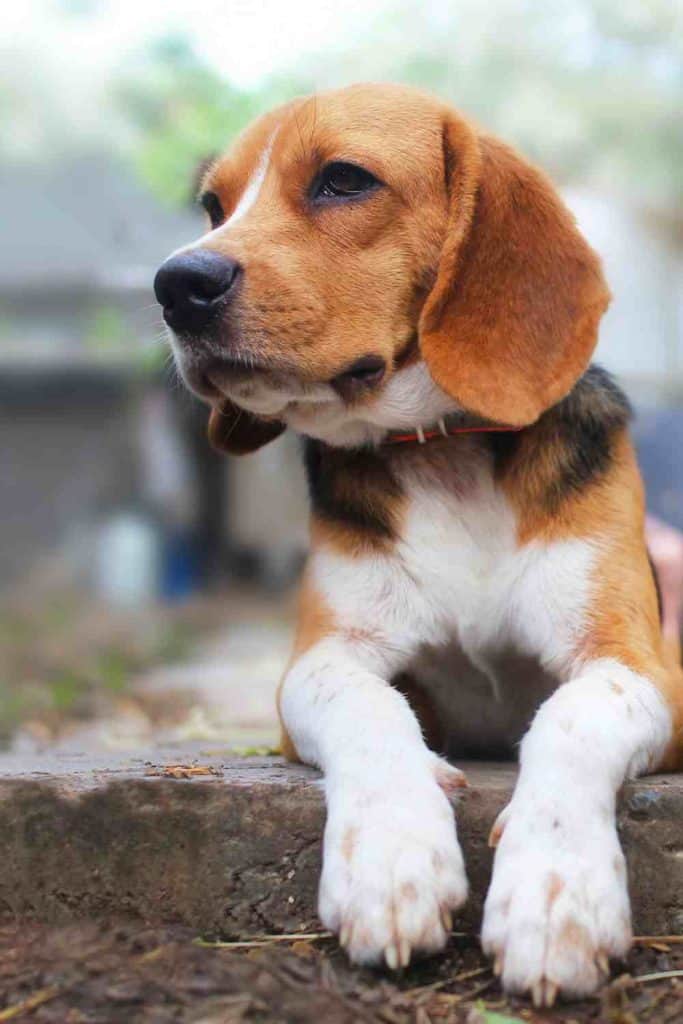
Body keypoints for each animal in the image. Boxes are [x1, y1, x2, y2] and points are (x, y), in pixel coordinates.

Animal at [154, 81, 683, 1007]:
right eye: (213, 206)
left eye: (341, 179)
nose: (175, 284)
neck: (443, 452)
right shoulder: (322, 661)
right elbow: (368, 707)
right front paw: (391, 858)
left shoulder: (637, 665)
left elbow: (571, 717)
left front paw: (554, 892)